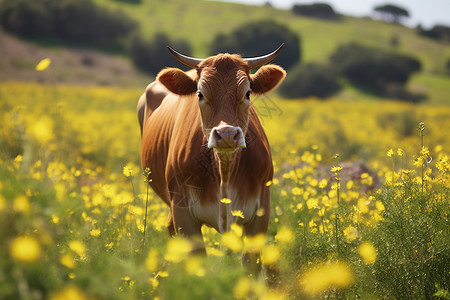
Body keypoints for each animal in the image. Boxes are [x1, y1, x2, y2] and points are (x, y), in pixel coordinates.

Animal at [138, 45, 284, 272]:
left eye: (248, 93)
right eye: (199, 94)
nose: (226, 134)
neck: (224, 170)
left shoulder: (261, 211)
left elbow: (251, 264)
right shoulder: (183, 213)